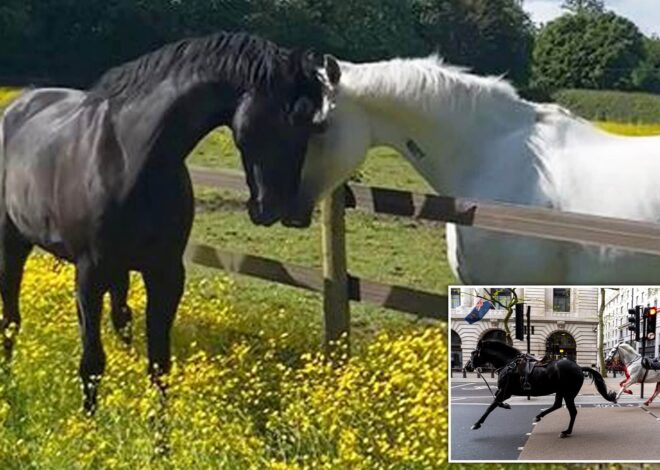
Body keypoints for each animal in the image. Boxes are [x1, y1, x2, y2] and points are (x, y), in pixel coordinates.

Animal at [0, 32, 339, 413]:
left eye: (313, 126)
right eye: (284, 117)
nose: (281, 209)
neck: (129, 158)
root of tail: (18, 105)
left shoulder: (166, 273)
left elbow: (159, 364)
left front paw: (158, 430)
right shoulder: (89, 274)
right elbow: (91, 362)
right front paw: (89, 423)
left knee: (120, 318)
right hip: (13, 243)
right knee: (10, 319)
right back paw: (8, 382)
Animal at [464, 340, 616, 438]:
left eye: (473, 353)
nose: (467, 367)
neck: (508, 363)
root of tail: (579, 367)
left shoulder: (505, 391)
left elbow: (491, 405)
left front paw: (477, 424)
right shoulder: (503, 391)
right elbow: (495, 402)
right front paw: (506, 406)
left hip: (568, 393)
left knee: (572, 411)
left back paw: (566, 431)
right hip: (561, 391)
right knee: (557, 405)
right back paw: (540, 416)